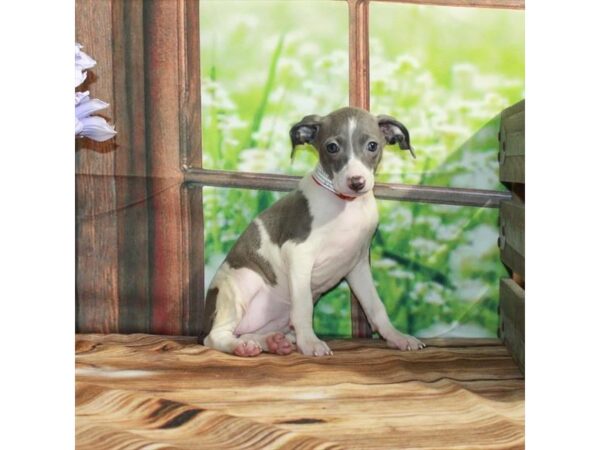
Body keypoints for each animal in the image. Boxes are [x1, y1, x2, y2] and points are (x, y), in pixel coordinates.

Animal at [204, 107, 424, 356]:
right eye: (332, 147)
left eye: (372, 145)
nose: (356, 182)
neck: (345, 205)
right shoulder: (298, 254)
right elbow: (303, 307)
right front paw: (310, 342)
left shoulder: (357, 265)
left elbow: (375, 306)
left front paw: (396, 337)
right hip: (240, 284)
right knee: (215, 336)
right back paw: (242, 346)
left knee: (248, 333)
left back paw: (272, 342)